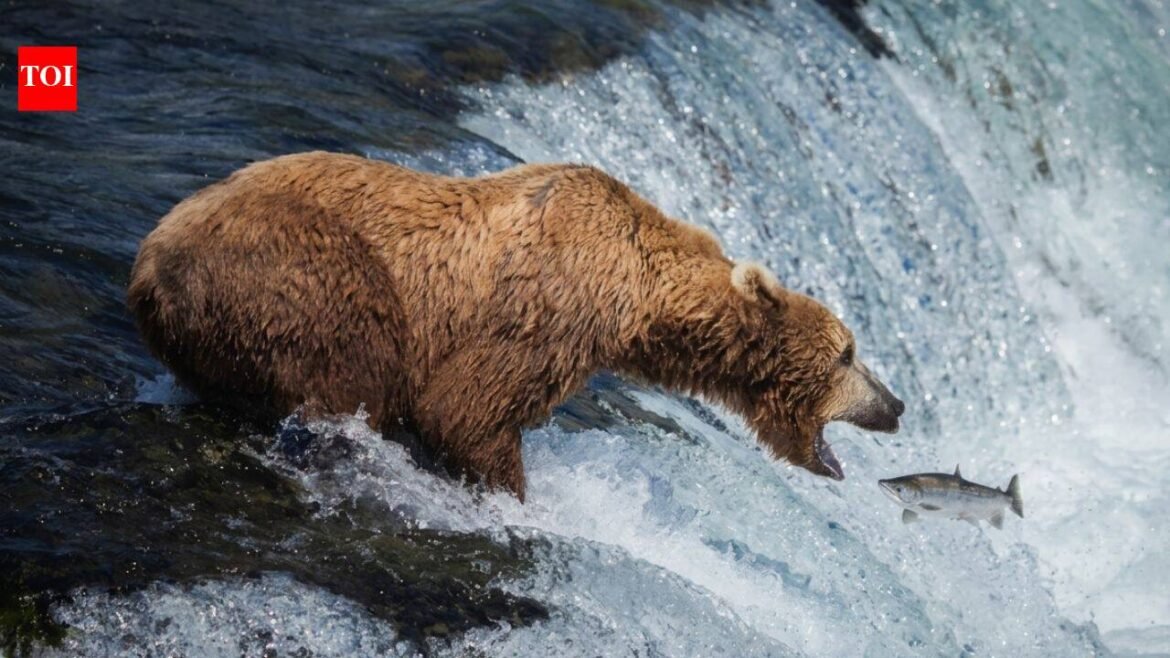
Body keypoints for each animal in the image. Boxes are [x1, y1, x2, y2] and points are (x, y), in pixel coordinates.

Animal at [128, 152, 904, 501]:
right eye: (848, 351)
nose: (895, 404)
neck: (638, 299)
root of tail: (149, 262)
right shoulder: (547, 311)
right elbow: (466, 409)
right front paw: (515, 495)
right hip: (294, 269)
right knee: (355, 363)